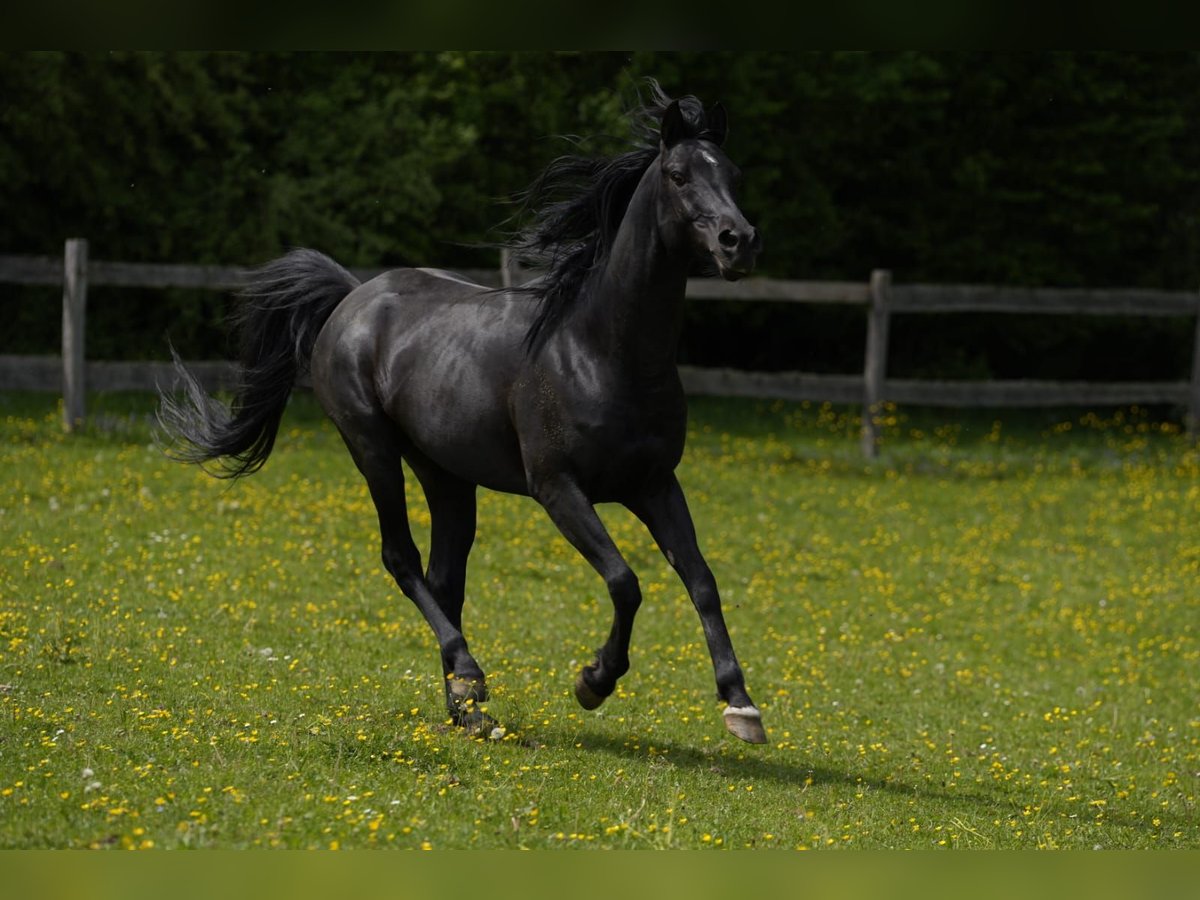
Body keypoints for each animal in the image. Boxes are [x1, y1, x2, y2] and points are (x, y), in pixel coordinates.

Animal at [157, 82, 768, 748]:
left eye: (734, 174)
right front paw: (593, 682)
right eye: (679, 175)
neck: (601, 348)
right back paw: (472, 678)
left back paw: (467, 706)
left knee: (444, 578)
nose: (739, 241)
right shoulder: (558, 489)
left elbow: (702, 580)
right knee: (401, 560)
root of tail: (352, 296)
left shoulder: (655, 484)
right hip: (373, 451)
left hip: (447, 476)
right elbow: (624, 582)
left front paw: (740, 705)